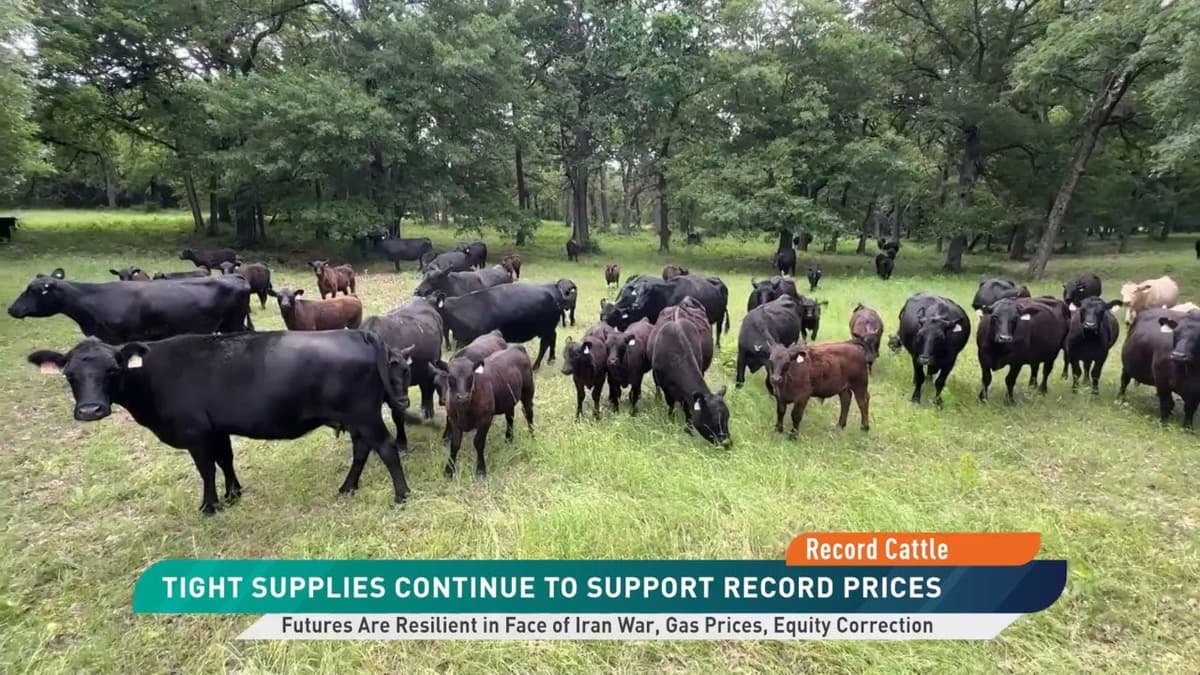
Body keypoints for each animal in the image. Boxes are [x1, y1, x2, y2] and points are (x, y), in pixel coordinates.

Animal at [26, 331, 412, 514]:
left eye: (112, 369)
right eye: (70, 374)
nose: (90, 410)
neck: (151, 375)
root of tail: (356, 333)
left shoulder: (195, 433)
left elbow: (206, 469)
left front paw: (210, 505)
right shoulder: (217, 429)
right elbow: (225, 459)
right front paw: (234, 493)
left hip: (363, 414)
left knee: (386, 447)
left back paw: (401, 495)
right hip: (356, 417)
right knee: (362, 449)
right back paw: (348, 487)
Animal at [428, 284, 560, 369]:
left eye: (429, 304)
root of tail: (552, 297)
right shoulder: (463, 339)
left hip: (546, 329)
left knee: (544, 344)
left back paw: (536, 366)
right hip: (550, 329)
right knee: (553, 338)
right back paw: (551, 359)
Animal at [435, 345, 535, 476]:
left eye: (471, 377)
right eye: (450, 377)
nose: (463, 396)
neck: (464, 410)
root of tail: (516, 348)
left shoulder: (485, 419)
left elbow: (478, 442)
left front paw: (481, 470)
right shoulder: (454, 420)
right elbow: (455, 444)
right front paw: (449, 470)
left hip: (528, 391)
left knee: (528, 413)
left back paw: (532, 436)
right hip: (508, 398)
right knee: (510, 417)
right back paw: (508, 439)